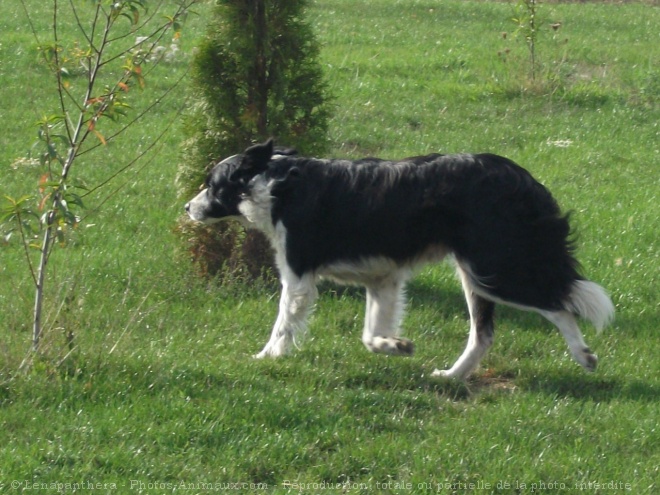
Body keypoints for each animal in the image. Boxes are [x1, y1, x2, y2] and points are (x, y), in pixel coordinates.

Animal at [186, 140, 612, 380]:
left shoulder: (298, 277)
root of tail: (522, 177)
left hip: (496, 269)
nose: (187, 207)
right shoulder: (382, 279)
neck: (272, 182)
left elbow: (283, 325)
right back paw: (451, 377)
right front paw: (395, 346)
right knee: (483, 334)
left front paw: (266, 357)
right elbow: (369, 335)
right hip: (476, 276)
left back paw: (583, 355)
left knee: (558, 305)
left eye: (211, 184)